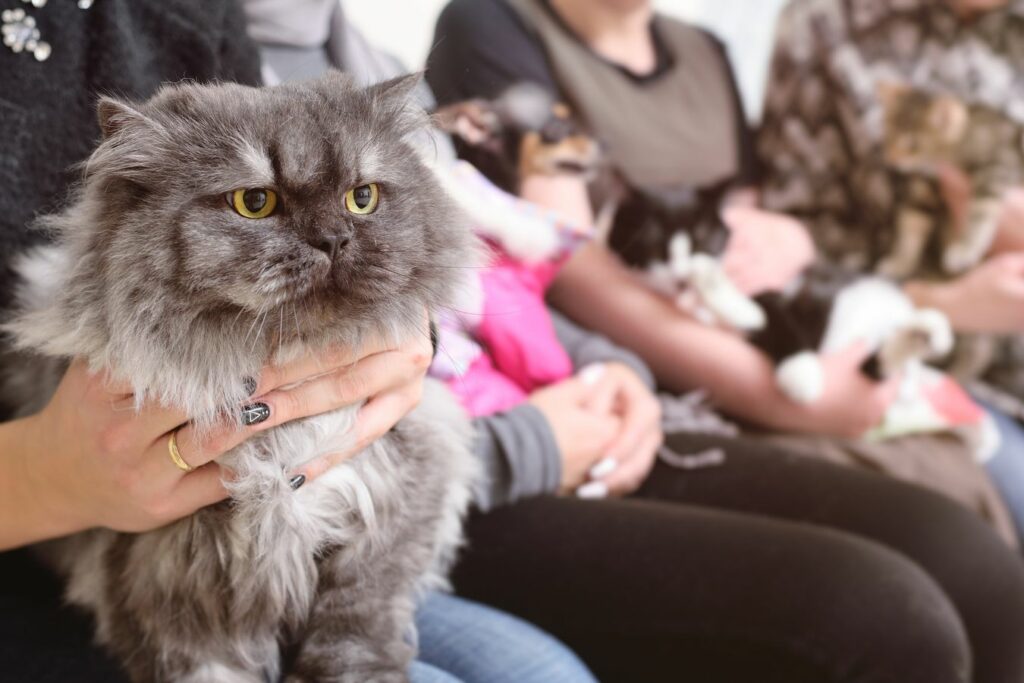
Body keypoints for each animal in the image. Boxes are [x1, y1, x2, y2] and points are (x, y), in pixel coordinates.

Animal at [1, 73, 479, 683]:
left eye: (362, 197)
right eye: (255, 202)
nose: (333, 239)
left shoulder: (394, 510)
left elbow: (355, 634)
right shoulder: (177, 584)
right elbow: (212, 666)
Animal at [606, 184, 950, 403]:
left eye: (705, 240)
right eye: (654, 248)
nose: (682, 276)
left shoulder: (782, 294)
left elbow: (771, 314)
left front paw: (801, 374)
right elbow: (755, 318)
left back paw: (929, 332)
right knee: (880, 365)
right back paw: (921, 338)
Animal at [880, 83, 1024, 276]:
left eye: (912, 145)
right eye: (888, 135)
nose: (889, 160)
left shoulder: (998, 165)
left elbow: (980, 211)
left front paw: (965, 248)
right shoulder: (926, 187)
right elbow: (911, 224)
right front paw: (900, 262)